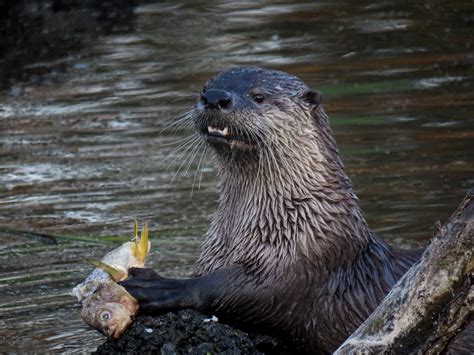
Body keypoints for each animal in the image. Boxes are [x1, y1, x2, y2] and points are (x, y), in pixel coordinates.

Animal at [120, 68, 420, 354]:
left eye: (259, 96)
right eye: (205, 88)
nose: (215, 98)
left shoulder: (304, 260)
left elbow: (234, 289)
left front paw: (157, 285)